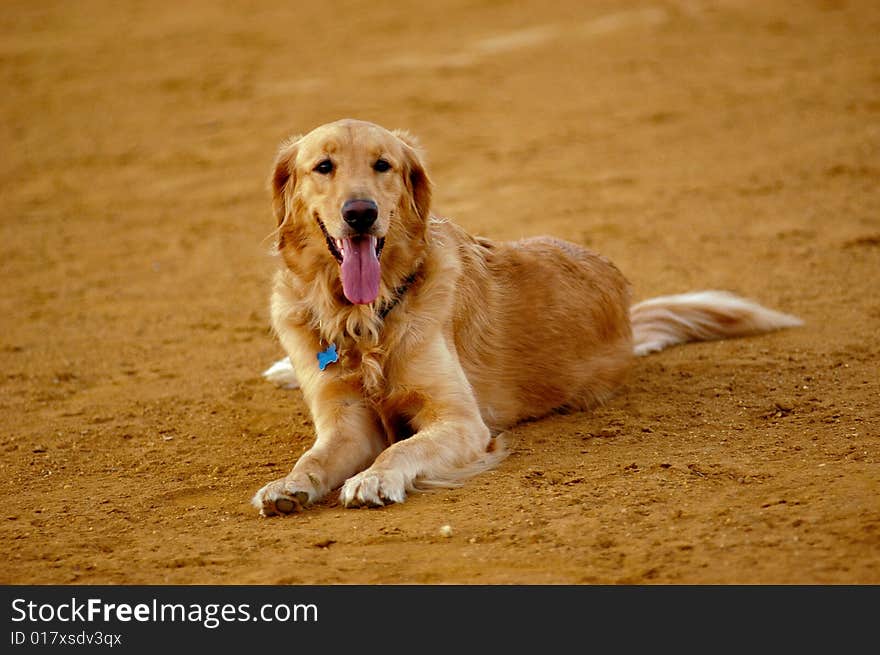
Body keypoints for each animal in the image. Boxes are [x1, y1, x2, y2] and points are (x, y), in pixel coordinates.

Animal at [249, 119, 804, 516]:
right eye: (324, 166)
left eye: (382, 165)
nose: (360, 213)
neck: (362, 319)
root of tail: (625, 307)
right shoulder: (345, 423)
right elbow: (314, 457)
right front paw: (287, 485)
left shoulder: (460, 422)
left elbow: (399, 450)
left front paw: (373, 477)